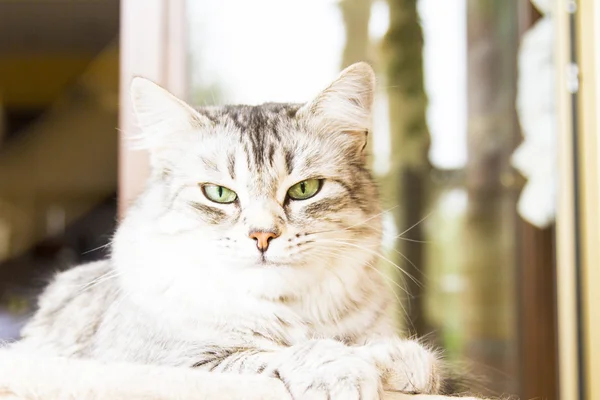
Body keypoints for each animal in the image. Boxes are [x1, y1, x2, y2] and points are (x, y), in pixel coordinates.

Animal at [9, 62, 440, 400]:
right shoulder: (177, 362)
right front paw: (341, 369)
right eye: (219, 194)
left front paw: (382, 360)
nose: (263, 236)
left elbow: (421, 363)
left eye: (304, 190)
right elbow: (277, 354)